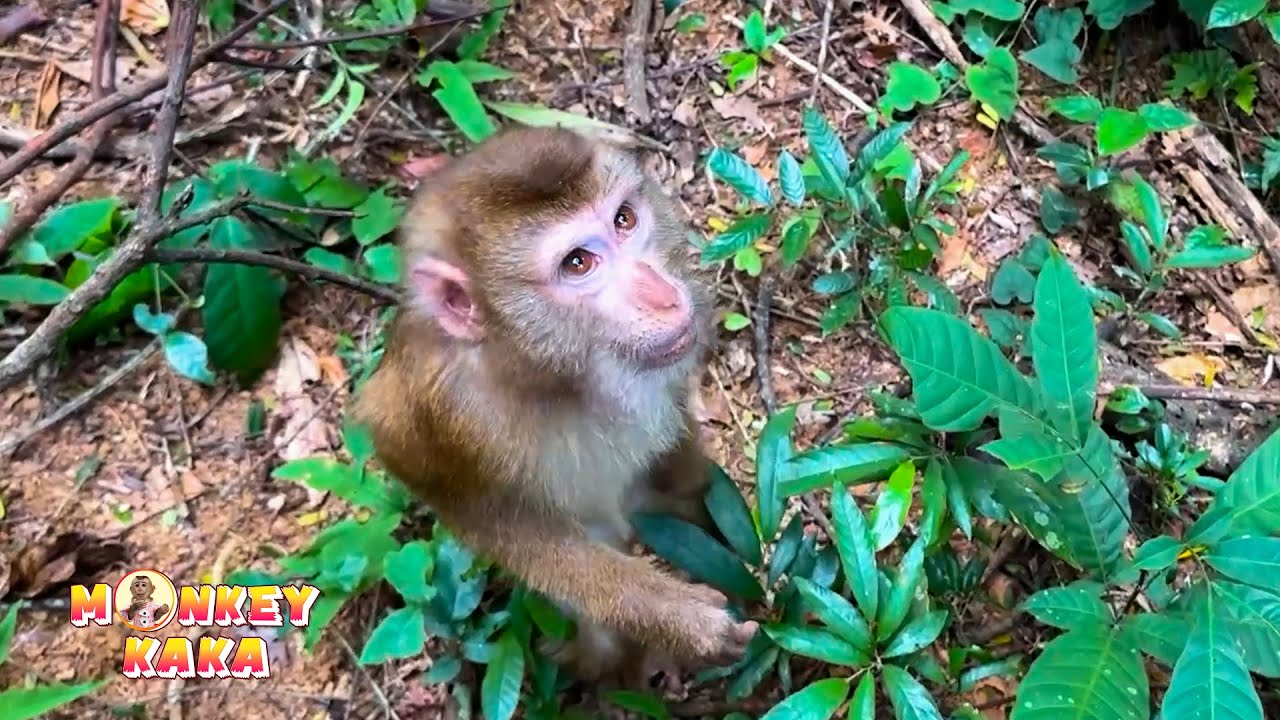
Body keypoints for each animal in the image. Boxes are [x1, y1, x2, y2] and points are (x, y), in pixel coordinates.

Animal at [352, 126, 758, 689]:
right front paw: (680, 619)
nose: (665, 297)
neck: (553, 377)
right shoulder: (437, 405)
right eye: (577, 263)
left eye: (624, 220)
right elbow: (482, 513)